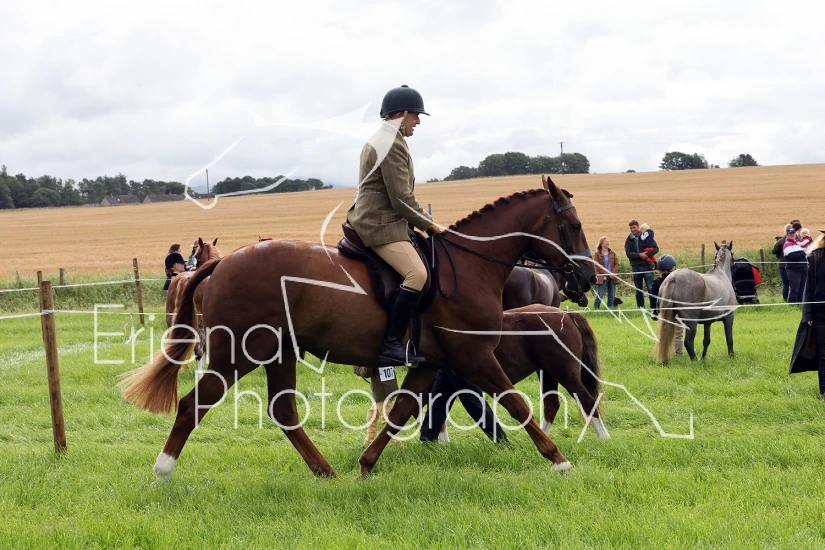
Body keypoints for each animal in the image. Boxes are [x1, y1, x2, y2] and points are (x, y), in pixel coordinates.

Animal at [119, 175, 597, 479]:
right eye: (573, 225)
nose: (587, 280)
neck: (469, 266)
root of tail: (220, 265)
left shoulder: (430, 363)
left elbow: (400, 412)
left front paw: (366, 466)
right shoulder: (474, 356)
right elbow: (517, 404)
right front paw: (558, 459)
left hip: (279, 351)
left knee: (283, 411)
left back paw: (325, 472)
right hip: (238, 352)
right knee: (192, 405)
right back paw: (162, 470)